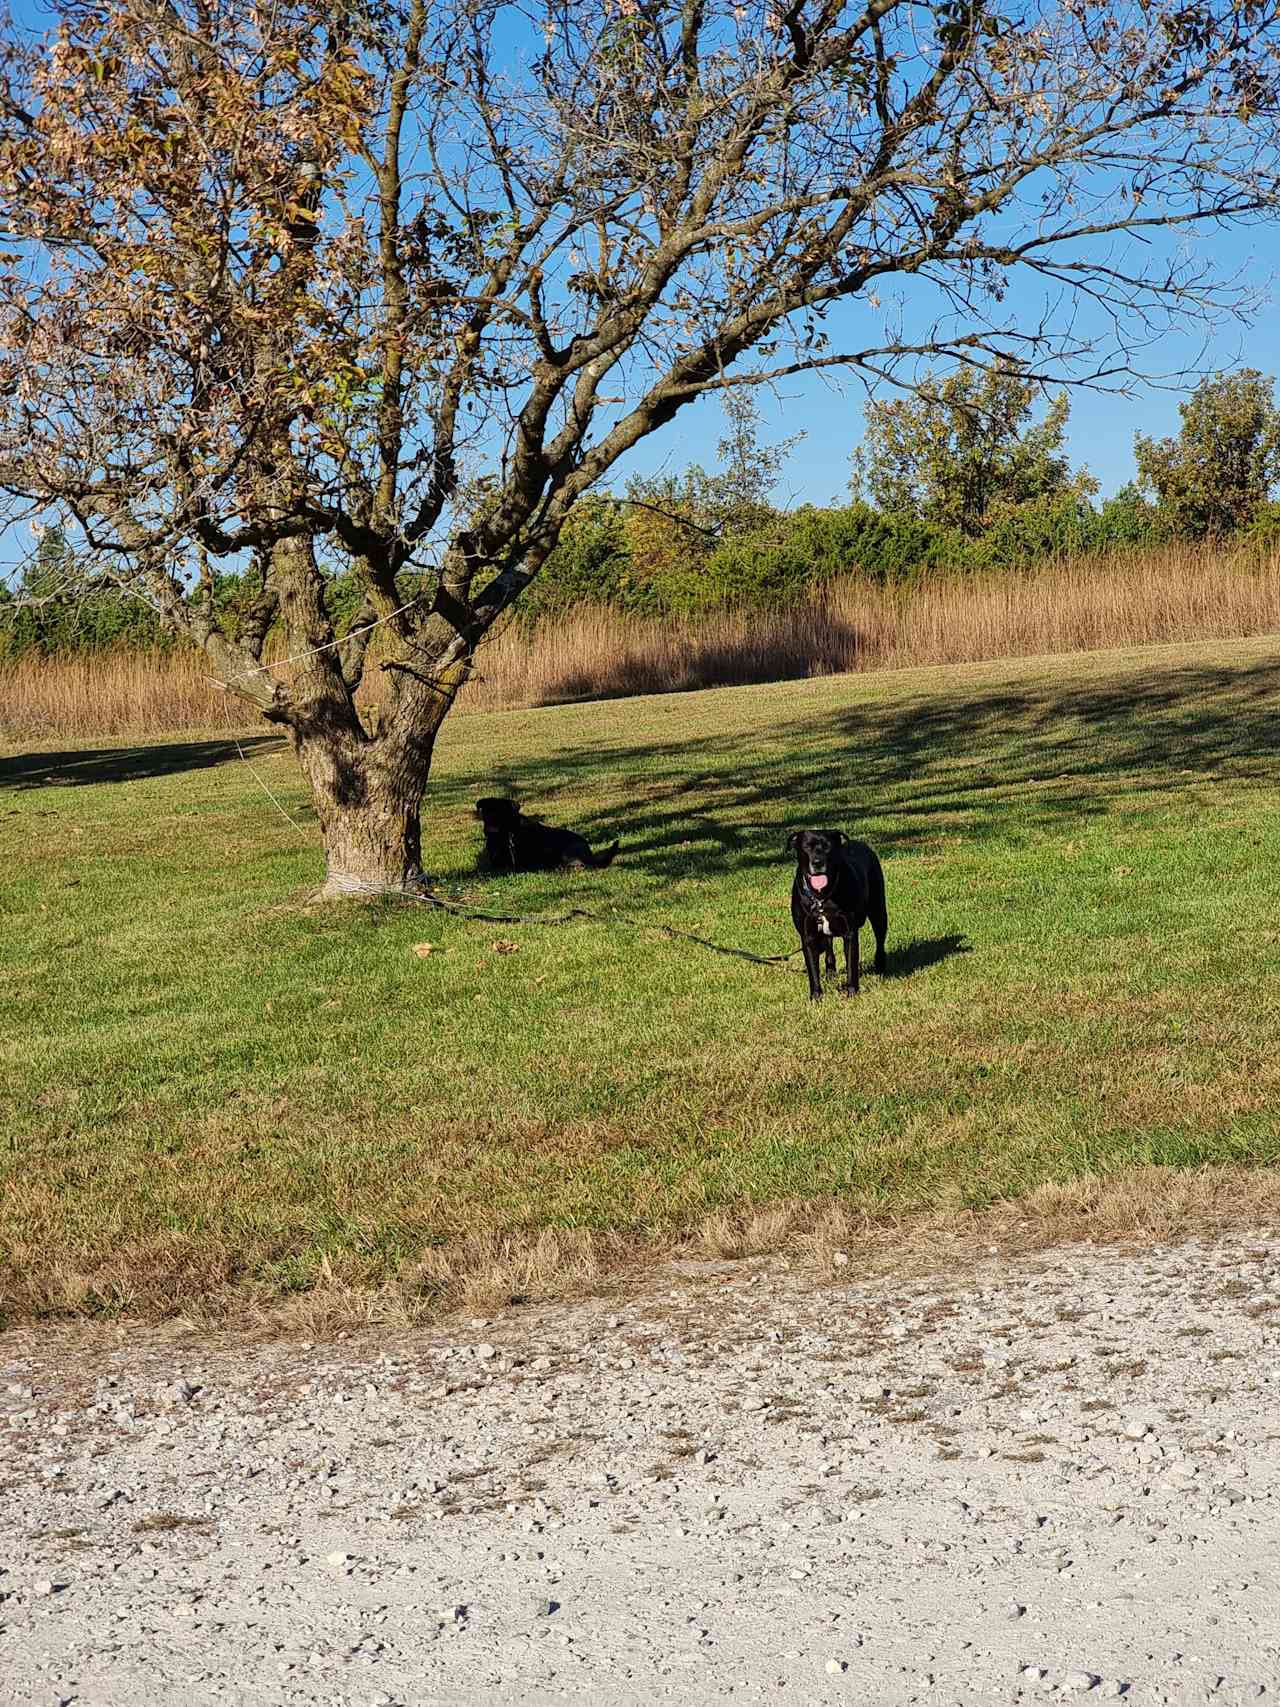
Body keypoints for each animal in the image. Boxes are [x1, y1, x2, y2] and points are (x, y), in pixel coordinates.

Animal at [477, 798, 624, 873]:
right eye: (487, 810)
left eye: (502, 810)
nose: (490, 818)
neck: (508, 834)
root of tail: (589, 851)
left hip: (568, 853)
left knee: (580, 865)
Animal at [788, 826, 887, 996]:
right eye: (806, 846)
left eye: (828, 847)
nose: (817, 862)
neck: (821, 897)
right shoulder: (808, 935)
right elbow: (812, 969)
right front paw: (816, 996)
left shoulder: (850, 932)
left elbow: (851, 964)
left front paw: (852, 992)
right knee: (828, 948)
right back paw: (830, 973)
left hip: (878, 911)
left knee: (880, 940)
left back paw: (880, 966)